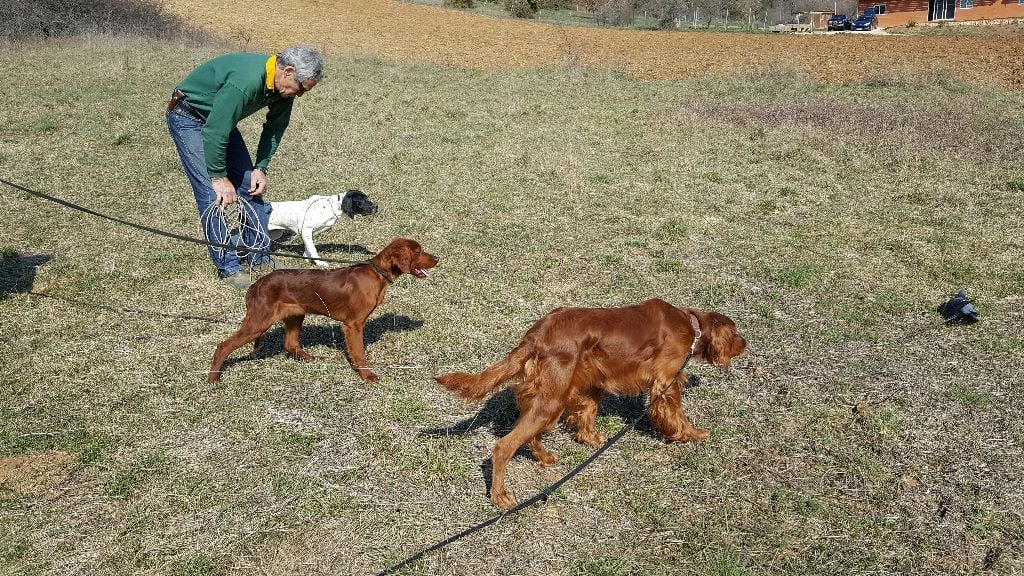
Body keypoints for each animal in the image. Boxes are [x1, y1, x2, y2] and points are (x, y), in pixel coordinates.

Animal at [207, 235, 436, 383]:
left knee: (290, 344)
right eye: (418, 251)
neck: (377, 274)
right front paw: (367, 375)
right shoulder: (353, 325)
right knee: (223, 346)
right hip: (259, 323)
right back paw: (213, 379)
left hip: (295, 315)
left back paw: (312, 359)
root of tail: (256, 284)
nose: (438, 259)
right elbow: (359, 352)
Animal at [434, 295, 745, 506]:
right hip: (552, 398)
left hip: (551, 396)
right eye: (736, 334)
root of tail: (535, 335)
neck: (691, 326)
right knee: (503, 446)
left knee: (530, 434)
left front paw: (589, 438)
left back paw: (545, 457)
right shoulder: (666, 380)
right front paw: (691, 434)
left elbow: (589, 409)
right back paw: (500, 496)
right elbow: (677, 412)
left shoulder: (596, 379)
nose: (745, 344)